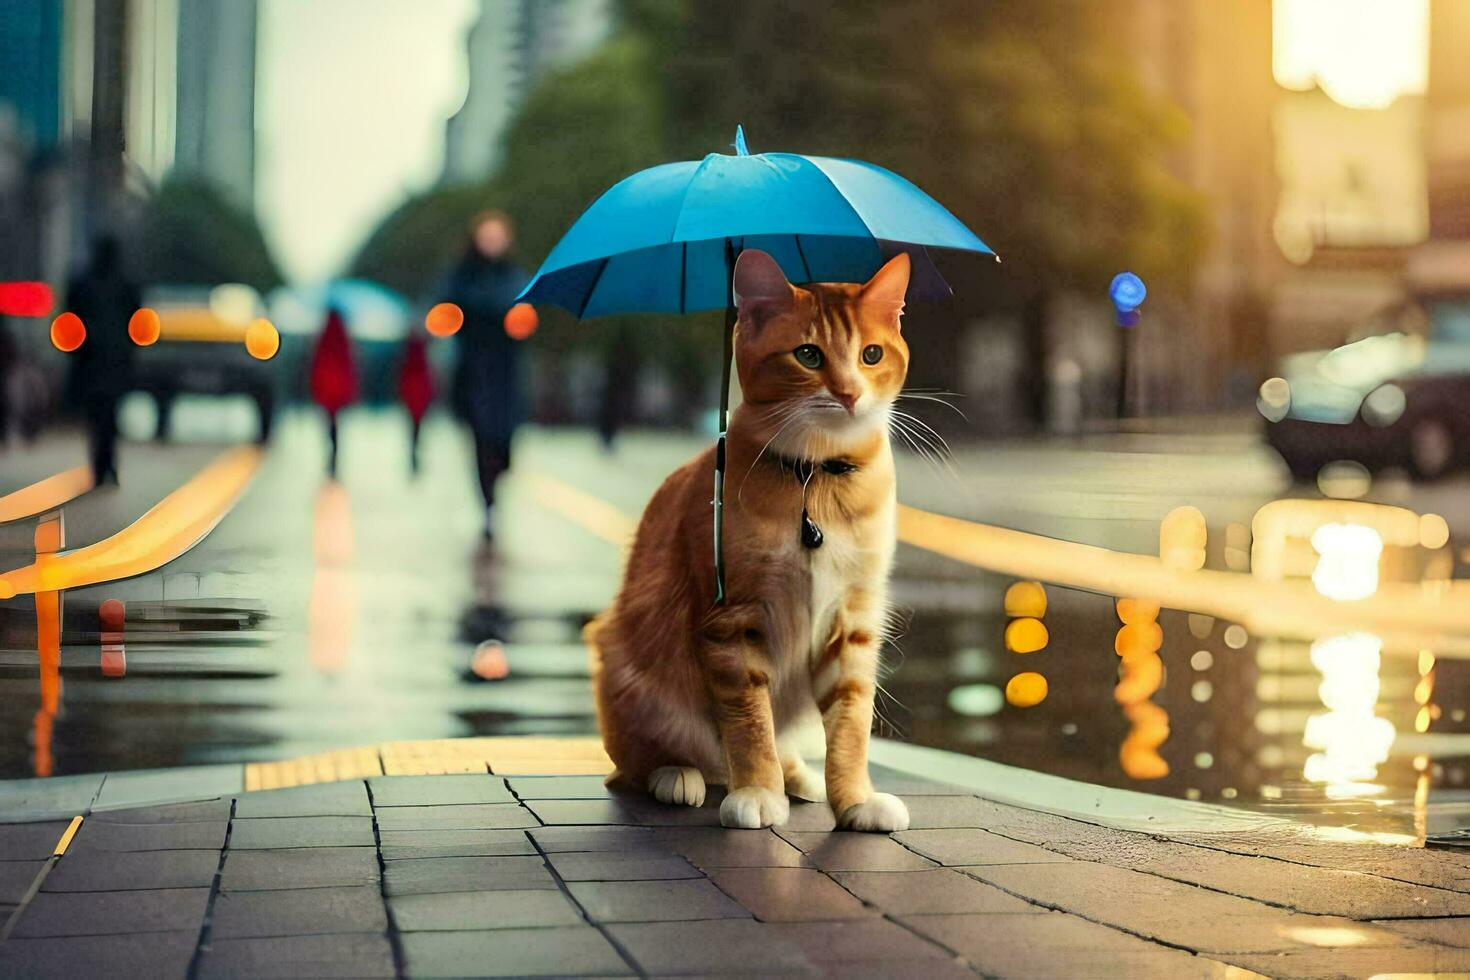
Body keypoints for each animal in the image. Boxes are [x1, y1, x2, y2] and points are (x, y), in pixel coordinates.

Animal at [588, 249, 911, 834]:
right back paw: (678, 774)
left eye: (872, 354)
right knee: (642, 762)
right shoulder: (732, 620)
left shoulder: (853, 623)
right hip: (632, 672)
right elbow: (748, 721)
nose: (850, 394)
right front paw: (759, 789)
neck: (814, 477)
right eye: (808, 355)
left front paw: (854, 798)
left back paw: (798, 773)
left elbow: (850, 725)